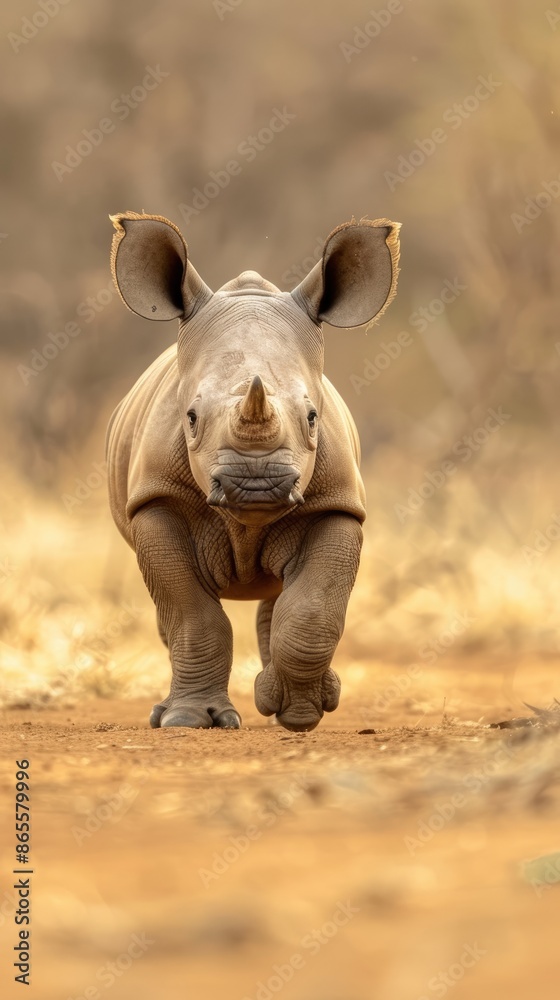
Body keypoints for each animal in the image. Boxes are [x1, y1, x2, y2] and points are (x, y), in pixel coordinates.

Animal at [106, 212, 400, 731]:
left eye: (312, 418)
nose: (256, 484)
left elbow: (312, 609)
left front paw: (301, 714)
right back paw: (166, 713)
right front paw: (188, 720)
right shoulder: (156, 499)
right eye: (190, 418)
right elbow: (190, 612)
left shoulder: (338, 505)